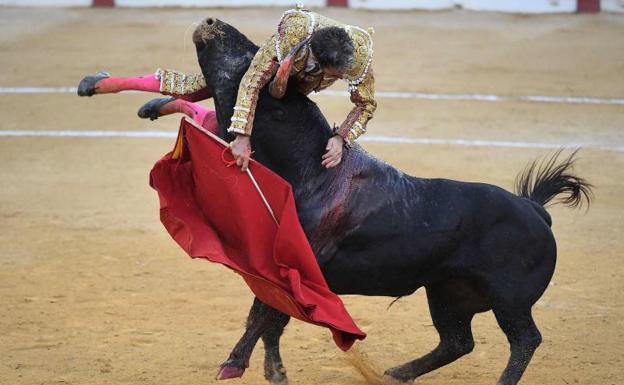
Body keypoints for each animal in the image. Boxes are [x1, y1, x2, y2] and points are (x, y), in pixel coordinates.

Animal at [152, 18, 596, 384]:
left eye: (247, 57)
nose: (211, 23)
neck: (308, 170)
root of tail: (533, 209)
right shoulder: (278, 270)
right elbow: (269, 317)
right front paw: (272, 371)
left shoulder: (295, 266)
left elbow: (265, 315)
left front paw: (235, 364)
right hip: (447, 292)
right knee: (458, 341)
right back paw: (397, 372)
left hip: (509, 299)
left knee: (524, 340)